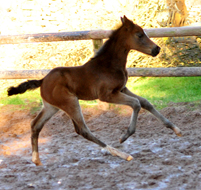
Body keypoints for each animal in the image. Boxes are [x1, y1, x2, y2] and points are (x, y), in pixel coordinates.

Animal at [7, 15, 181, 166]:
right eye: (139, 34)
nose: (156, 49)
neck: (109, 64)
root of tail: (42, 80)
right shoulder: (107, 95)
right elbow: (136, 103)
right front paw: (124, 136)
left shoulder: (122, 88)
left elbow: (145, 102)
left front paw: (175, 129)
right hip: (70, 102)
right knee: (82, 130)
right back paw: (121, 154)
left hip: (52, 107)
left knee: (35, 125)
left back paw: (36, 160)